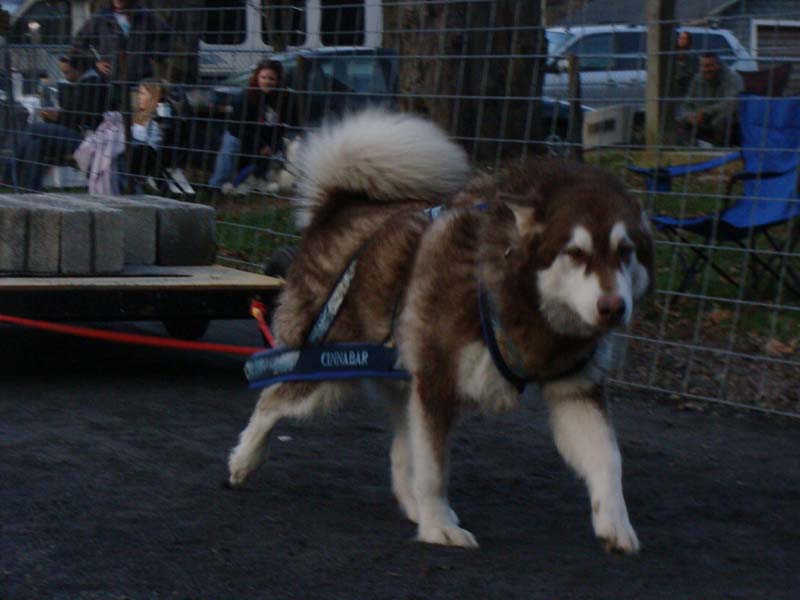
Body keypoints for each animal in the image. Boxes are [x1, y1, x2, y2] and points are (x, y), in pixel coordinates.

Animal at [228, 109, 652, 552]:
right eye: (575, 253)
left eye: (626, 252)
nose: (613, 308)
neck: (519, 301)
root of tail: (339, 206)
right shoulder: (437, 381)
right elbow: (434, 470)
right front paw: (438, 527)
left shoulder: (575, 392)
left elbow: (609, 457)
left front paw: (615, 523)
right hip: (328, 373)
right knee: (272, 402)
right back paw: (243, 460)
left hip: (398, 379)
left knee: (401, 451)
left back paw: (412, 504)